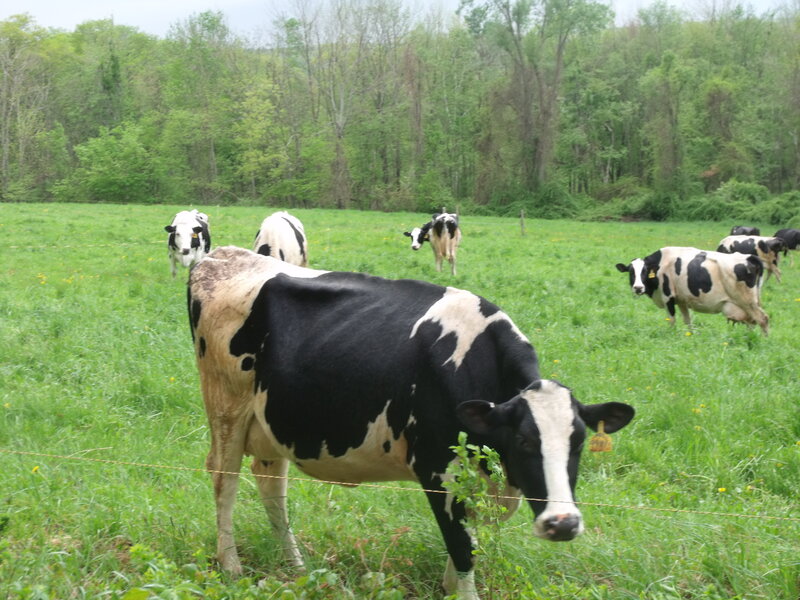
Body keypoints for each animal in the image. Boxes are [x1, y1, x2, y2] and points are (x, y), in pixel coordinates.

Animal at [188, 246, 634, 599]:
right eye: (524, 441)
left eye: (579, 442)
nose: (563, 523)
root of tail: (224, 255)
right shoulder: (437, 471)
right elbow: (463, 548)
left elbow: (470, 545)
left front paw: (448, 586)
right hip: (226, 406)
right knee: (224, 480)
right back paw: (231, 566)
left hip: (273, 421)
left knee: (271, 485)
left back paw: (296, 566)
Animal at [615, 246, 768, 335]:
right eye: (631, 272)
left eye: (645, 271)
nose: (638, 287)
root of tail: (749, 257)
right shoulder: (682, 300)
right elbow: (687, 320)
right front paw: (691, 336)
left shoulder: (668, 297)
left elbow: (672, 320)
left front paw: (671, 335)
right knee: (752, 322)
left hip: (747, 302)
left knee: (762, 319)